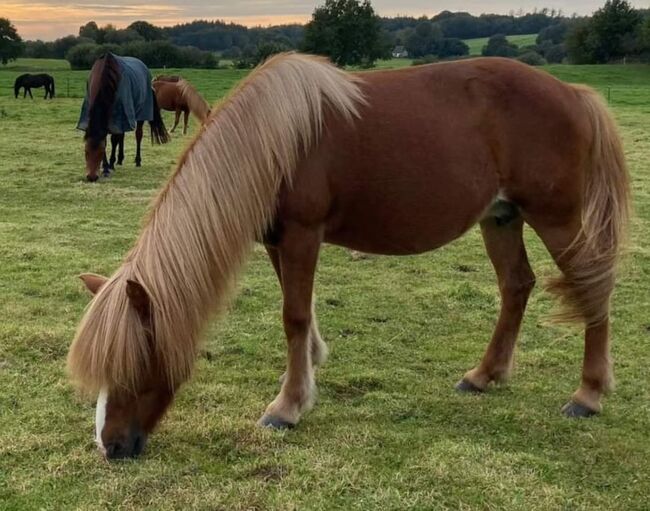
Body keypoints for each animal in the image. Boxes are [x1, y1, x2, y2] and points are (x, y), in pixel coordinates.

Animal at [77, 52, 169, 182]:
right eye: (86, 151)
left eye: (100, 152)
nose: (92, 177)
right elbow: (110, 138)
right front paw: (106, 166)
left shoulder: (119, 114)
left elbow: (114, 140)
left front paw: (109, 165)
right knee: (122, 135)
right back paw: (120, 159)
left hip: (140, 113)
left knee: (138, 135)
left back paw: (137, 160)